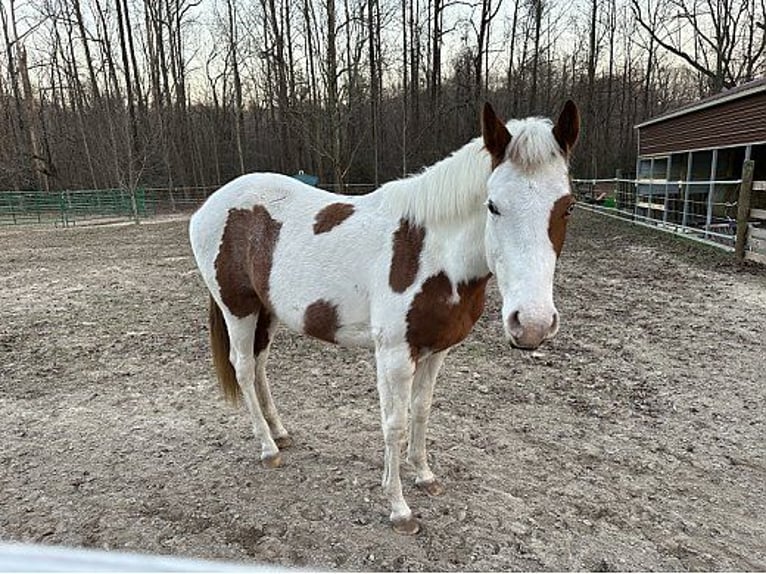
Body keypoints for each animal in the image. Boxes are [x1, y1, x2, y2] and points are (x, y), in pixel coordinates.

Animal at [190, 100, 584, 536]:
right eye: (493, 205)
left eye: (568, 206)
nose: (531, 324)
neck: (432, 253)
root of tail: (211, 205)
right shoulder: (394, 355)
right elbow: (394, 423)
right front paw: (399, 508)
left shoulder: (436, 350)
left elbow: (422, 411)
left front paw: (425, 476)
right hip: (237, 309)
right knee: (243, 368)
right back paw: (268, 448)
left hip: (267, 311)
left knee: (260, 366)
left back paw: (281, 433)